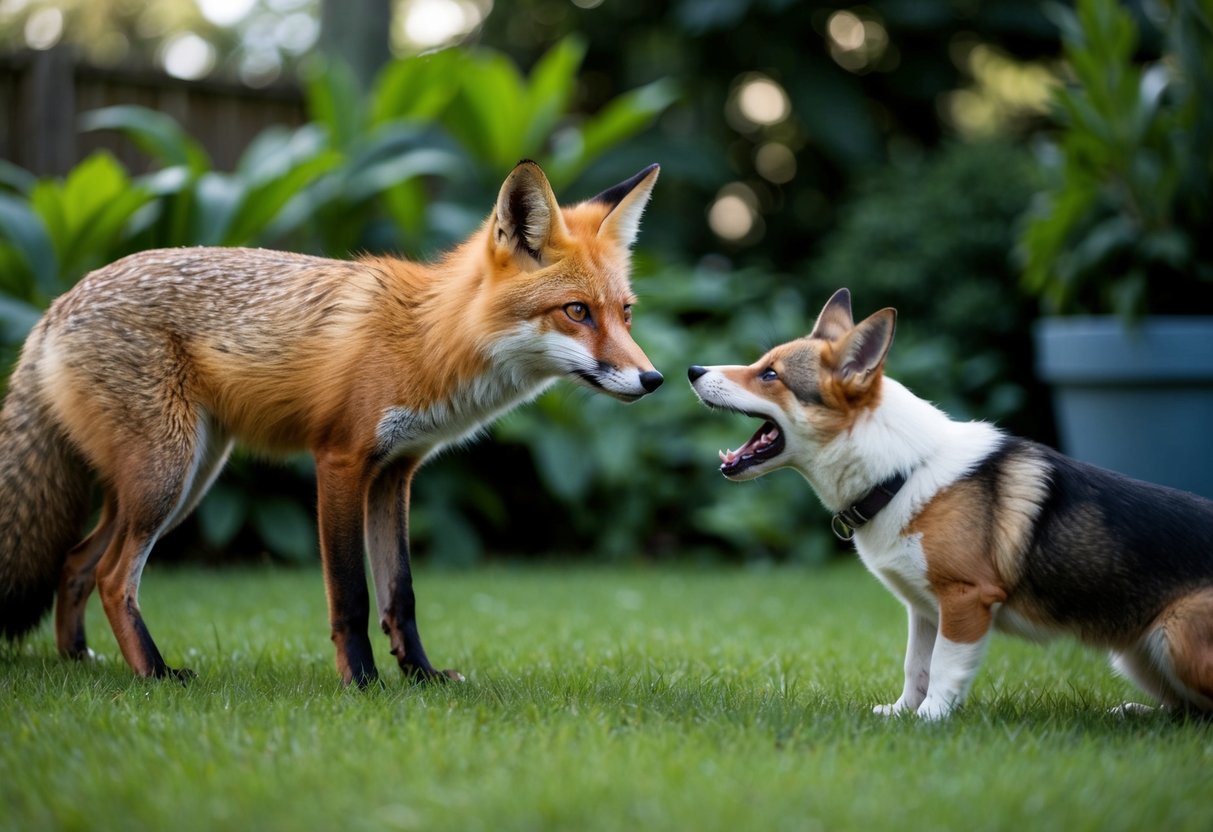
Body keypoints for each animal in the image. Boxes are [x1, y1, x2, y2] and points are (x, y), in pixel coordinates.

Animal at [0, 160, 664, 686]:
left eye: (625, 313)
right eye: (576, 312)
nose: (653, 379)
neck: (431, 339)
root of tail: (57, 304)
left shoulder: (396, 472)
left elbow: (401, 593)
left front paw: (421, 676)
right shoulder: (341, 461)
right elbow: (351, 594)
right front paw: (363, 683)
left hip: (177, 481)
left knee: (76, 563)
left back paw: (79, 660)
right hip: (167, 477)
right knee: (113, 577)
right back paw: (155, 674)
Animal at [688, 288, 1213, 718]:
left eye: (770, 374)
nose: (693, 370)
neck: (901, 474)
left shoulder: (966, 599)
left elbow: (943, 668)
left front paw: (931, 720)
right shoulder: (923, 610)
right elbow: (915, 666)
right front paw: (901, 714)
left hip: (1173, 638)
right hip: (1135, 653)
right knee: (1183, 711)